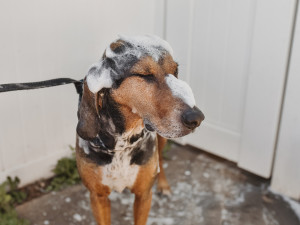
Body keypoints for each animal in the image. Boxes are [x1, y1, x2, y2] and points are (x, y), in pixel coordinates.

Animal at [76, 34, 205, 224]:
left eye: (175, 72)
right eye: (145, 75)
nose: (197, 118)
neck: (122, 142)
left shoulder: (144, 195)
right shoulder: (97, 197)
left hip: (161, 139)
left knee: (160, 159)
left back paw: (163, 184)